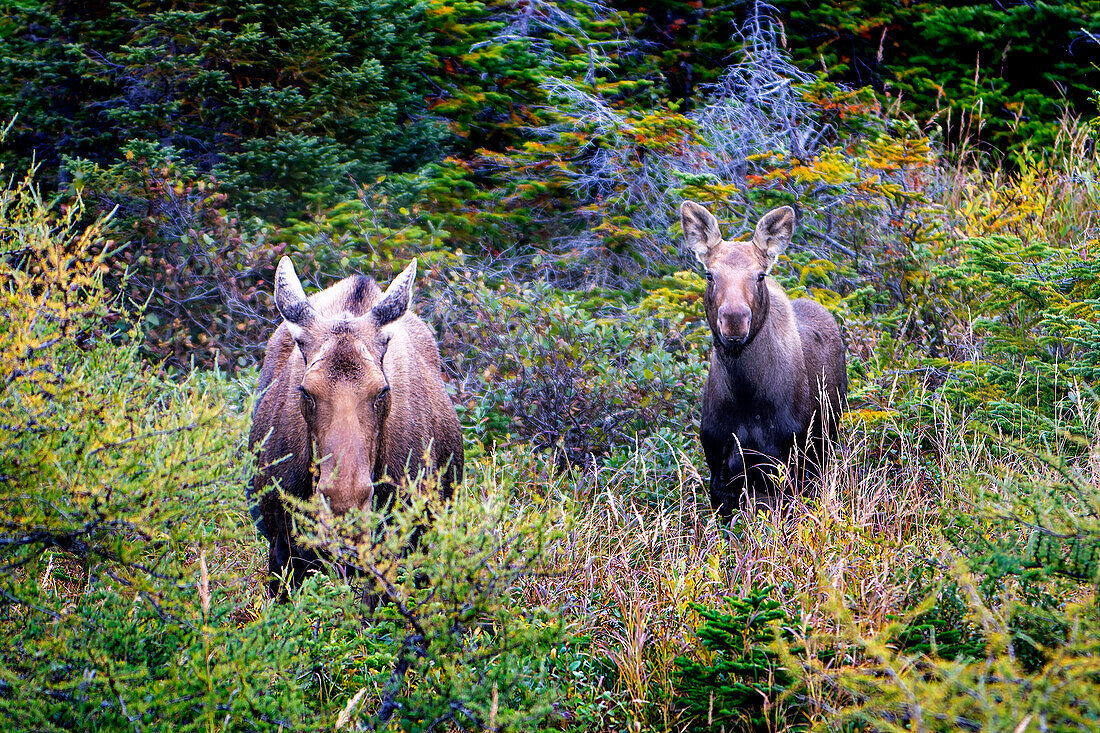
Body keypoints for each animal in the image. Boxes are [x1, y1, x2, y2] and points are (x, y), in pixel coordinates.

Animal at [677, 197, 849, 510]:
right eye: (709, 274)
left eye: (760, 275)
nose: (734, 319)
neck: (745, 393)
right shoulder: (719, 470)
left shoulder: (790, 465)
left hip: (824, 444)